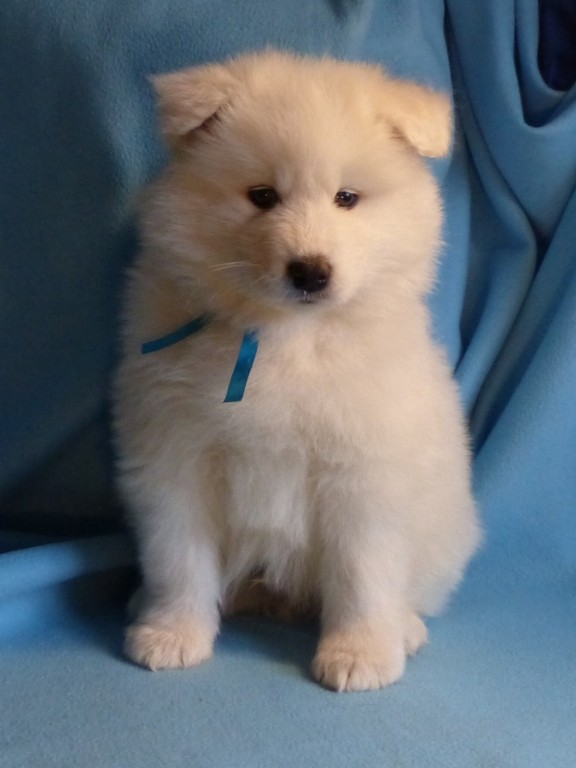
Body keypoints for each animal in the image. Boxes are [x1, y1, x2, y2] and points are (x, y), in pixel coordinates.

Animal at [114, 50, 480, 692]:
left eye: (347, 198)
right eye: (262, 195)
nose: (311, 271)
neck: (285, 335)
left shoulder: (363, 474)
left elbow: (363, 572)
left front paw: (360, 654)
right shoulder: (176, 459)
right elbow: (178, 559)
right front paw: (172, 633)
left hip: (443, 528)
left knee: (414, 588)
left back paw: (404, 629)